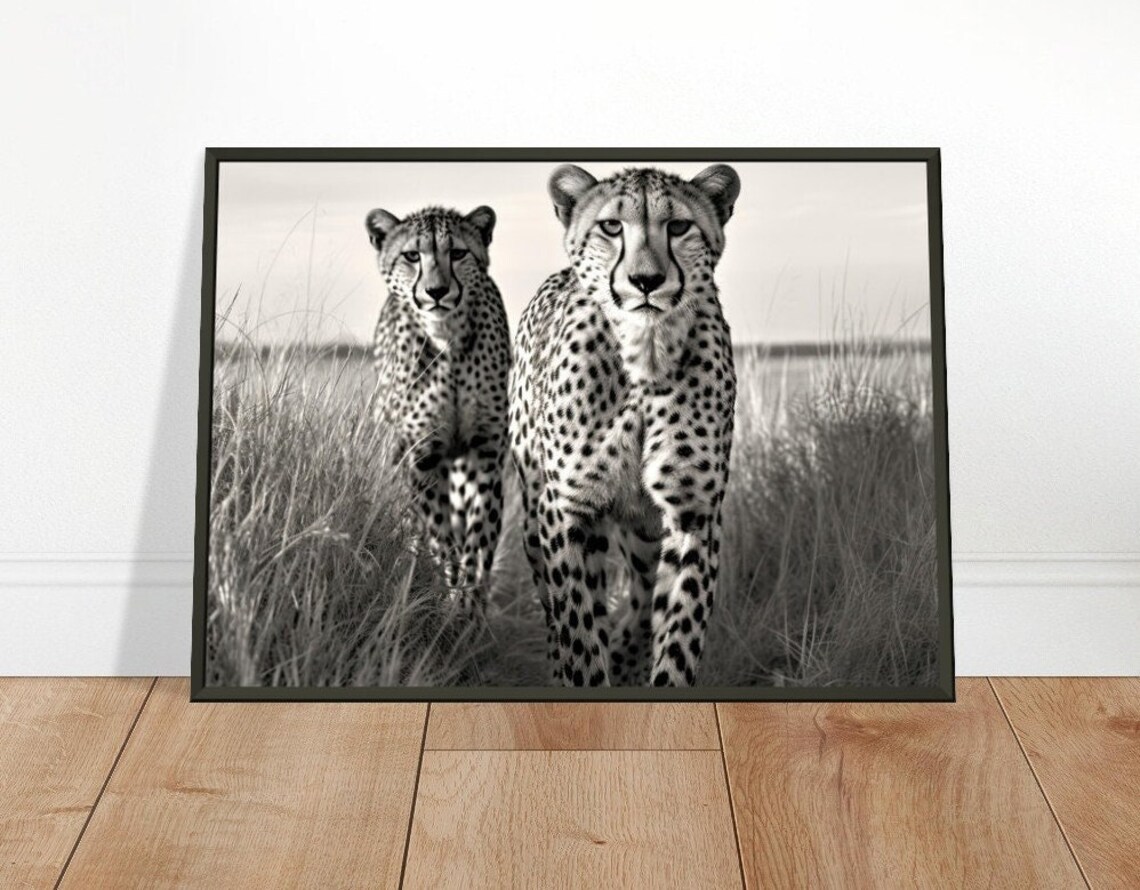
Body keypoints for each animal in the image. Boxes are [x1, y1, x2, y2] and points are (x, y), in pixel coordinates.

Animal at [367, 204, 511, 617]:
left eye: (458, 253)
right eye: (412, 256)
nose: (436, 291)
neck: (447, 337)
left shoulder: (484, 454)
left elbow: (479, 536)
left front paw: (470, 604)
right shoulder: (421, 458)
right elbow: (438, 534)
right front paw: (450, 591)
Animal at [508, 163, 741, 687]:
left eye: (679, 227)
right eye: (612, 227)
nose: (646, 280)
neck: (646, 352)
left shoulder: (694, 514)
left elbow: (679, 629)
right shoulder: (566, 510)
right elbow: (576, 627)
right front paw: (585, 676)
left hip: (644, 530)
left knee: (640, 594)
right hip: (537, 518)